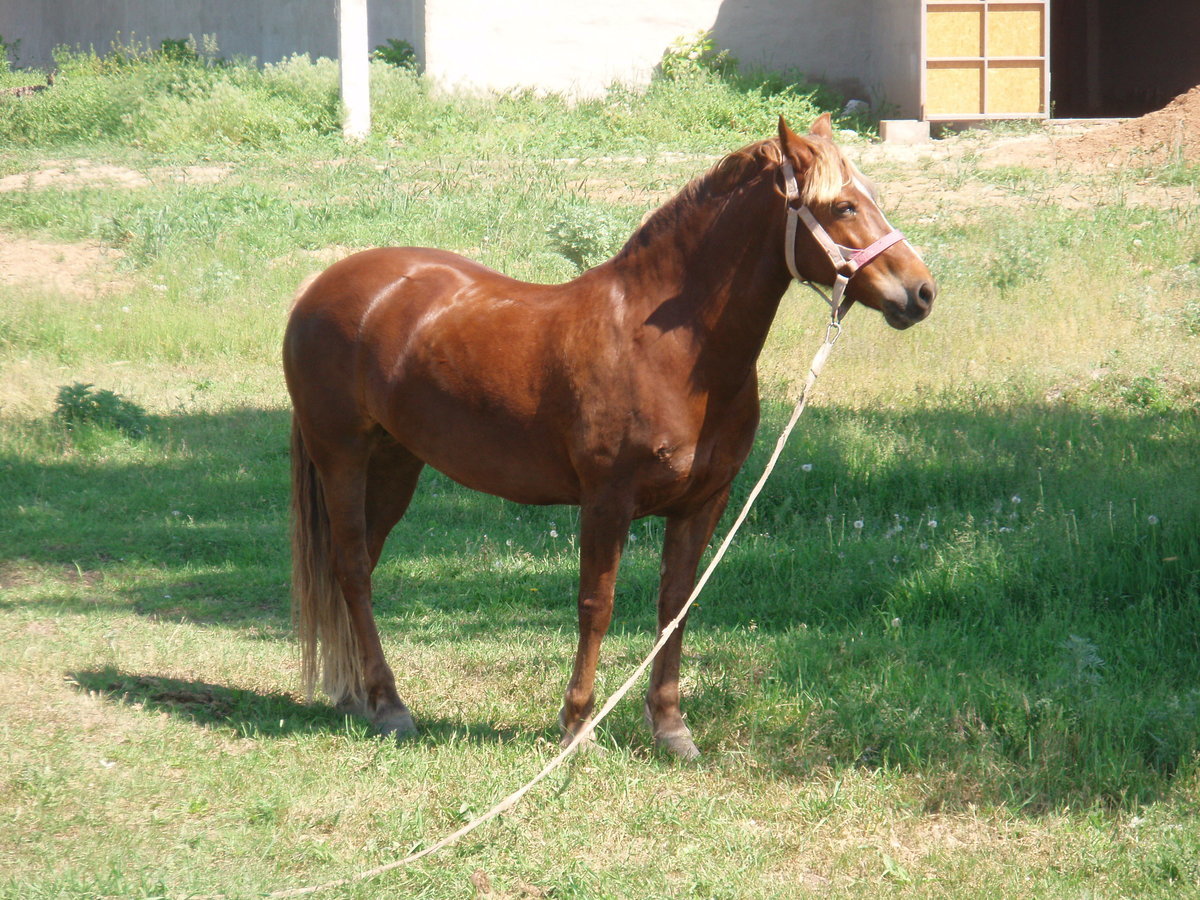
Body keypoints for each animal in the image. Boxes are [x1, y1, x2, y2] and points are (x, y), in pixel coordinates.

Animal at [283, 114, 936, 763]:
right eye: (844, 206)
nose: (922, 292)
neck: (668, 348)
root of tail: (319, 287)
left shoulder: (704, 502)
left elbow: (675, 605)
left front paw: (671, 728)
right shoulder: (606, 501)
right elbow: (595, 607)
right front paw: (577, 726)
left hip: (396, 462)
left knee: (362, 564)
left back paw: (358, 696)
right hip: (342, 456)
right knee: (352, 567)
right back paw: (390, 706)